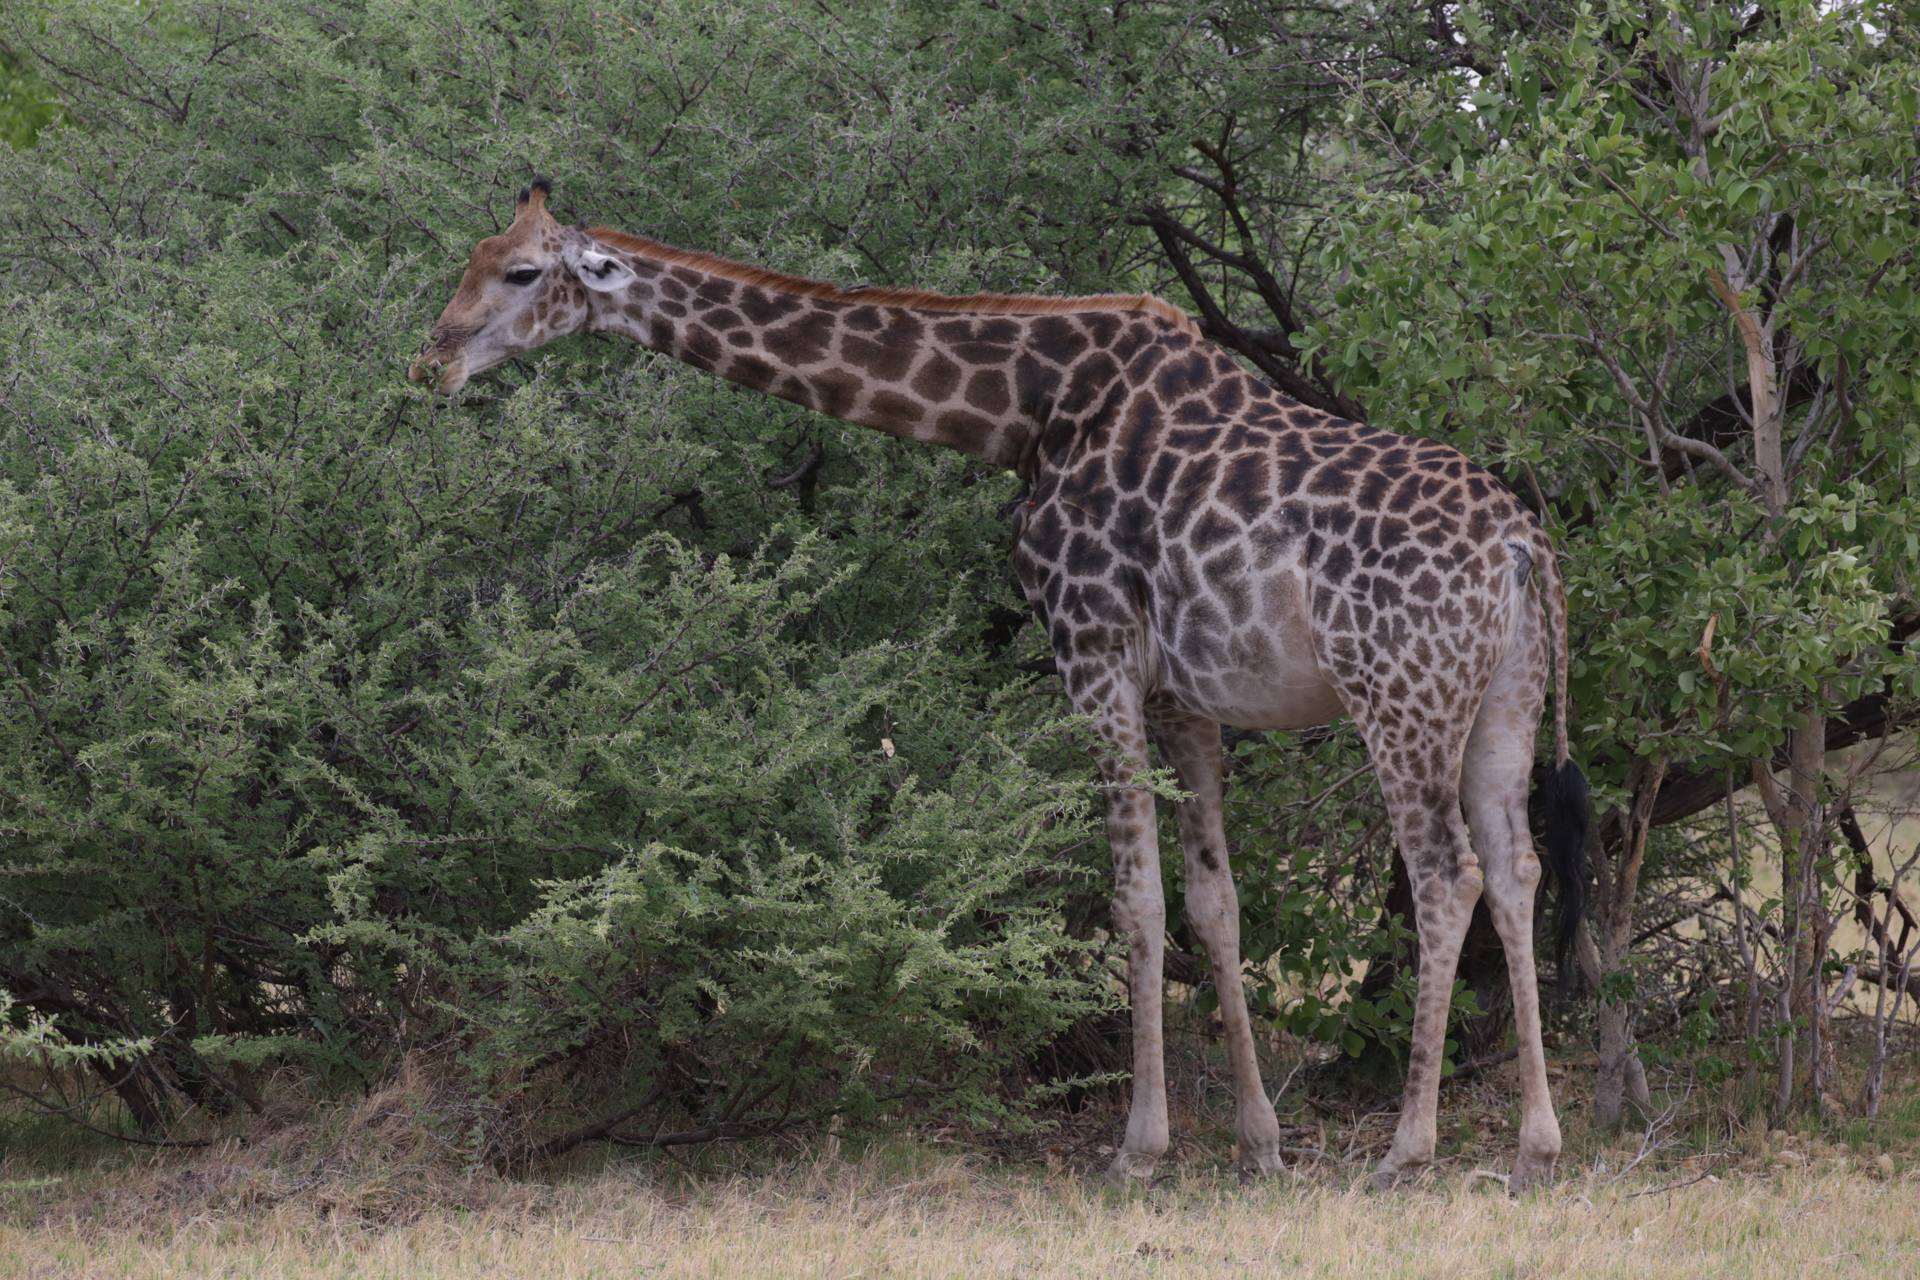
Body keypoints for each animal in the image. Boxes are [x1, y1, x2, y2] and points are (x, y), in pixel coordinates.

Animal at [416, 180, 1589, 1189]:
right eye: (472, 259)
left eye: (521, 271)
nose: (434, 360)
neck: (1018, 412)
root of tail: (1524, 546)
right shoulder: (1186, 698)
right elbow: (1214, 900)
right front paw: (1257, 1143)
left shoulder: (1093, 649)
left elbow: (1134, 896)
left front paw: (1139, 1148)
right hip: (1505, 704)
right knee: (1517, 864)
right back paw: (1537, 1143)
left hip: (1398, 695)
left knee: (1444, 875)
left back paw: (1408, 1149)